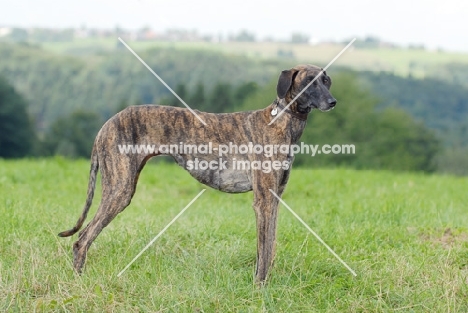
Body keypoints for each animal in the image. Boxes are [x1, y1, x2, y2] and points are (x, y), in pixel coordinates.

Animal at [58, 64, 336, 282]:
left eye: (326, 80)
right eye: (309, 81)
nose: (333, 102)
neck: (282, 120)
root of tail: (105, 126)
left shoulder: (274, 198)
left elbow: (270, 247)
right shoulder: (263, 201)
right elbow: (264, 251)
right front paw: (259, 288)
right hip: (120, 190)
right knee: (82, 239)